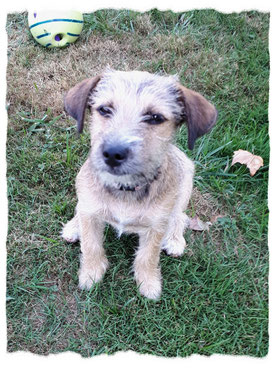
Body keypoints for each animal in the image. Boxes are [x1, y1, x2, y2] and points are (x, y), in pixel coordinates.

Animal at [62, 69, 218, 300]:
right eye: (104, 109)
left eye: (155, 118)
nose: (113, 153)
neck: (124, 188)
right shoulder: (90, 212)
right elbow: (91, 245)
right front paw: (91, 274)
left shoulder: (156, 225)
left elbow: (148, 256)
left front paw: (149, 283)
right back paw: (74, 226)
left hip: (186, 180)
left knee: (179, 217)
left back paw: (174, 239)